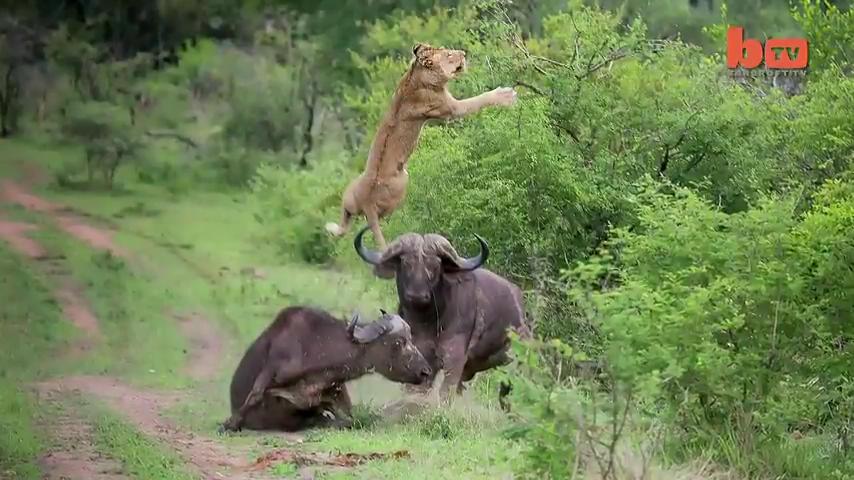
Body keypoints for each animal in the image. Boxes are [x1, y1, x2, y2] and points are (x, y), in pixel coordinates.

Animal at [222, 306, 434, 434]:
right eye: (398, 342)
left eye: (411, 338)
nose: (425, 372)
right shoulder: (273, 368)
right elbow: (256, 394)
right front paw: (230, 423)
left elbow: (350, 418)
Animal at [326, 43, 516, 249]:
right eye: (449, 54)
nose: (464, 53)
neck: (416, 75)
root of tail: (367, 203)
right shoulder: (451, 109)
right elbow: (479, 99)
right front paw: (506, 95)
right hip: (402, 182)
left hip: (349, 196)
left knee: (346, 220)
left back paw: (332, 227)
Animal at [352, 225, 528, 404]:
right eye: (406, 263)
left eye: (435, 266)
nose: (417, 295)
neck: (427, 322)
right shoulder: (421, 356)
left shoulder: (454, 358)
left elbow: (445, 392)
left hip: (514, 366)